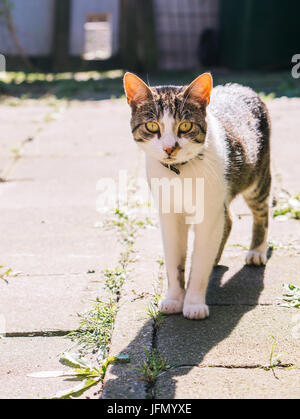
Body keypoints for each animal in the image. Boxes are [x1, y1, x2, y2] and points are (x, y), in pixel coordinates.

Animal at [123, 73, 270, 322]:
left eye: (185, 125)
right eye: (152, 126)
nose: (169, 148)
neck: (179, 172)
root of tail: (242, 86)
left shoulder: (209, 211)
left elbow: (200, 262)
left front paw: (193, 303)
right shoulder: (169, 214)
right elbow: (174, 260)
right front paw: (174, 299)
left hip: (256, 176)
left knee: (262, 209)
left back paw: (257, 251)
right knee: (228, 221)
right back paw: (217, 257)